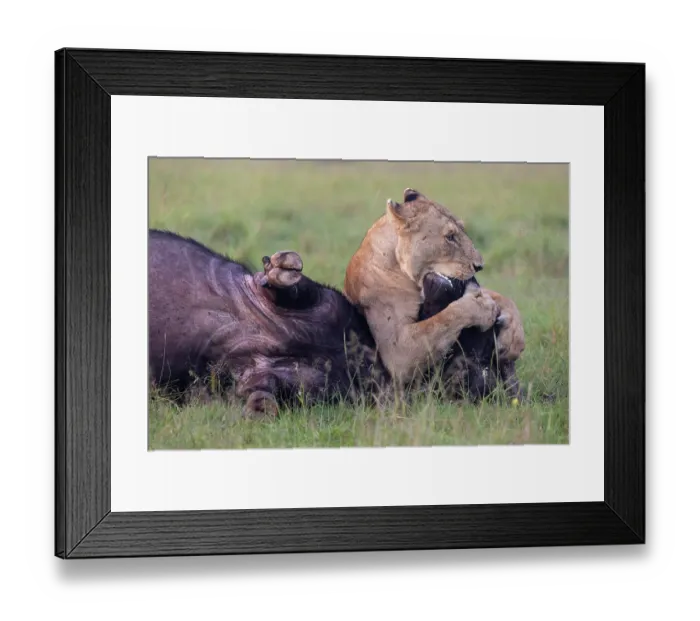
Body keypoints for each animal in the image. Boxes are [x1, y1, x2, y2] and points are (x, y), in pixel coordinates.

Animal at [344, 187, 525, 386]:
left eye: (462, 231)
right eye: (450, 237)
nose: (479, 266)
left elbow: (503, 298)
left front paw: (514, 337)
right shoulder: (397, 351)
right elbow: (444, 319)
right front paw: (482, 307)